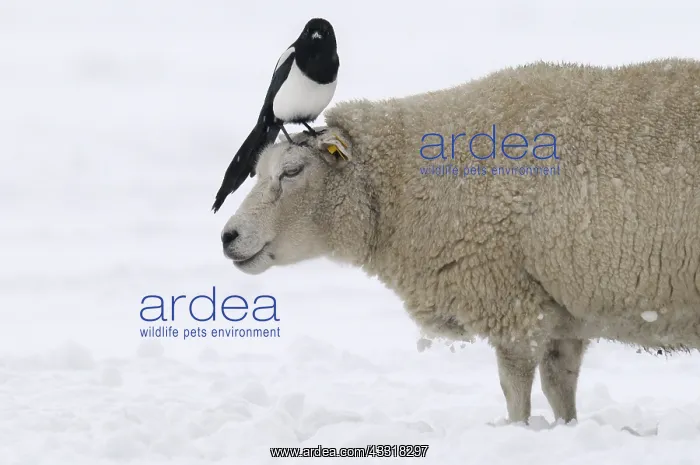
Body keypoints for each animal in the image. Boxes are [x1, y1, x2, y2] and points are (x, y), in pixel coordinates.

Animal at [220, 58, 700, 424]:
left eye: (292, 172)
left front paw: (517, 432)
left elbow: (515, 389)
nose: (228, 236)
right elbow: (559, 387)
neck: (401, 191)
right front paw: (567, 430)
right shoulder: (560, 310)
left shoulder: (508, 299)